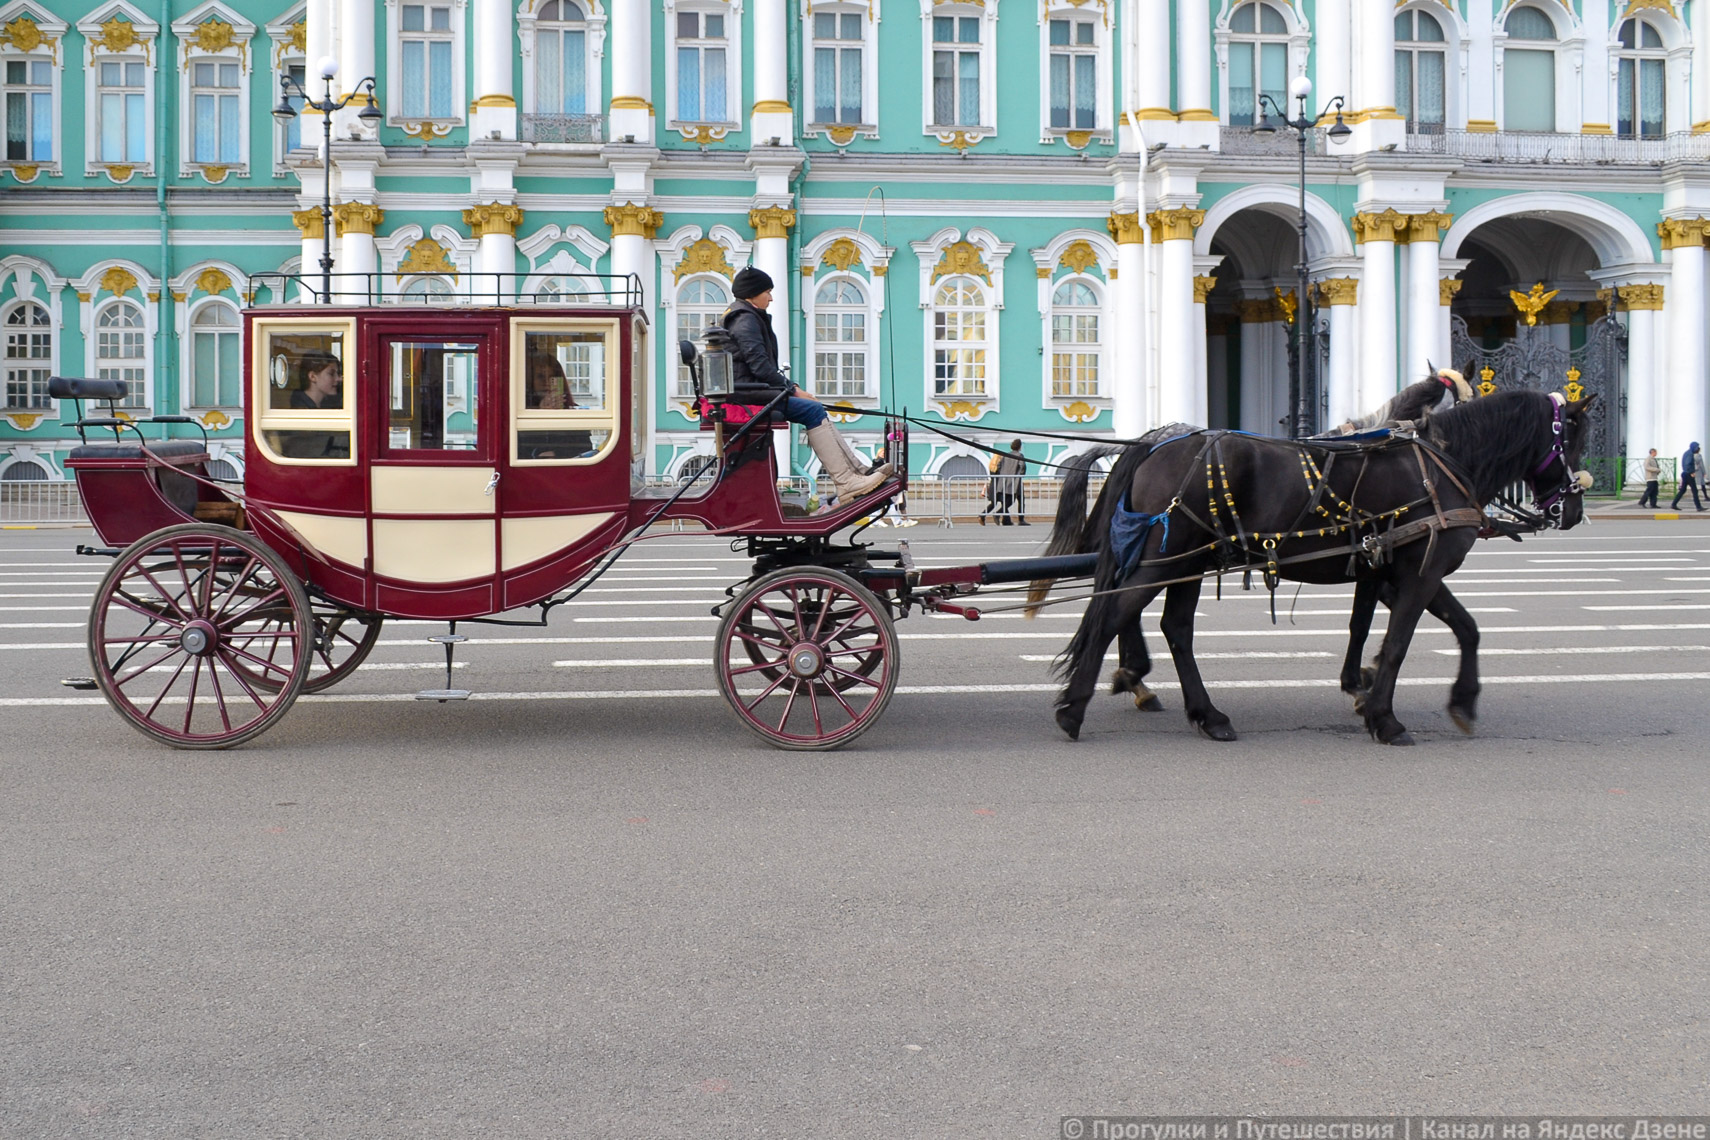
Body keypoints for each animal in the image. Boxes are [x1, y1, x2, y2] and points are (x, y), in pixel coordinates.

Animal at [1039, 393, 1600, 745]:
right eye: (1571, 442)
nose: (1573, 511)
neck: (1442, 464)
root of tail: (1152, 443)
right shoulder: (1420, 574)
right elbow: (1398, 644)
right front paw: (1384, 718)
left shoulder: (1394, 574)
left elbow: (1450, 628)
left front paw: (1450, 700)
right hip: (1166, 559)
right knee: (1115, 614)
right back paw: (1074, 708)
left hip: (1188, 563)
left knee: (1172, 627)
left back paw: (1207, 714)